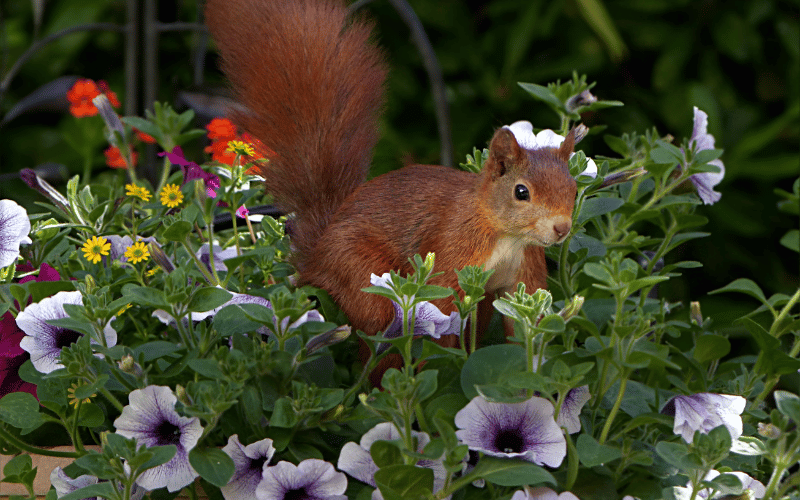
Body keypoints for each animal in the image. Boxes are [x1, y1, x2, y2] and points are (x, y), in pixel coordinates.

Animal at [204, 0, 577, 351]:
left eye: (574, 190)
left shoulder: (523, 273)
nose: (562, 229)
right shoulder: (453, 249)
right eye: (521, 192)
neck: (505, 235)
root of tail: (316, 256)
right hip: (361, 272)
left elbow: (527, 327)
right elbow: (443, 308)